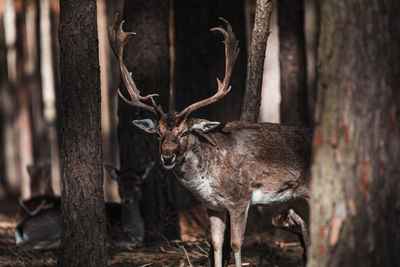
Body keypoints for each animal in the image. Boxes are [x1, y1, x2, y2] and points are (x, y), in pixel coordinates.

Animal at [14, 163, 154, 251]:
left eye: (138, 184)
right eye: (119, 184)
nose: (127, 200)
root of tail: (20, 227)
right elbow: (128, 242)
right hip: (51, 228)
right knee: (27, 245)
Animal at [109, 15, 312, 267]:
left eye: (185, 132)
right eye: (157, 133)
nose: (167, 156)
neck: (208, 180)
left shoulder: (240, 199)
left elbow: (235, 244)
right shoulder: (212, 206)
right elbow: (216, 243)